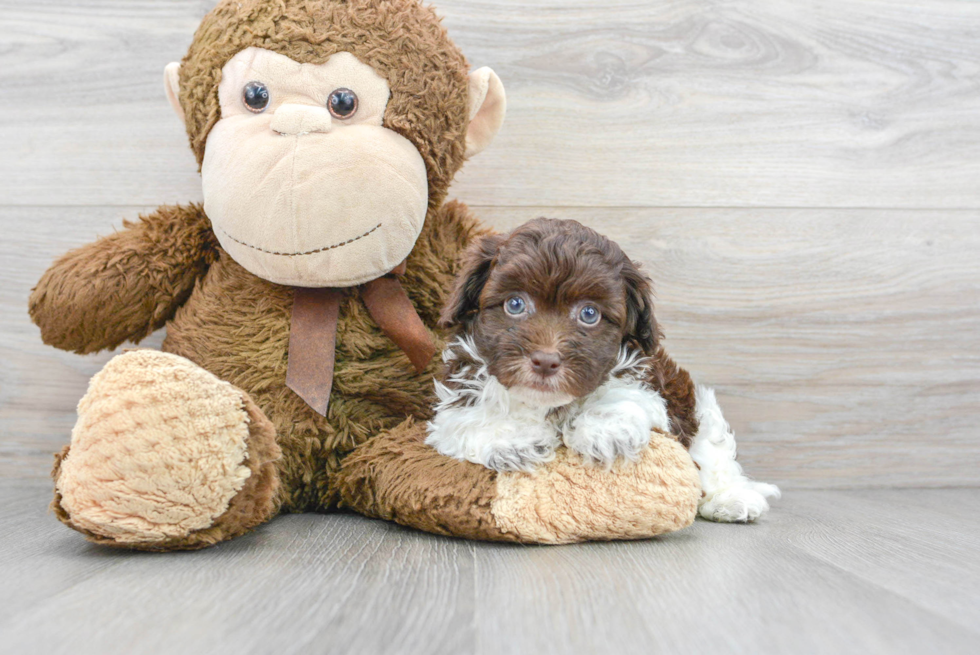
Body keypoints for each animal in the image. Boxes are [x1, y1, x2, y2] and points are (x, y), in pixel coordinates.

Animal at [428, 218, 780, 524]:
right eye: (514, 304)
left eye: (589, 314)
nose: (545, 361)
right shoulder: (459, 388)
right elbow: (468, 416)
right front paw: (510, 439)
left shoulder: (646, 375)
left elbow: (622, 393)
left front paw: (605, 431)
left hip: (699, 410)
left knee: (714, 454)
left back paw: (731, 499)